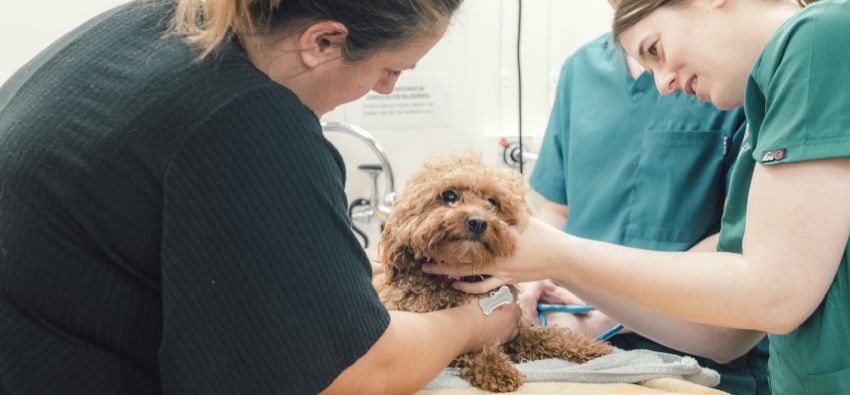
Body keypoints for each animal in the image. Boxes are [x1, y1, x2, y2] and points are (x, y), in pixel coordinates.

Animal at [376, 152, 608, 392]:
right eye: (449, 196)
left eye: (492, 202)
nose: (478, 222)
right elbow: (470, 346)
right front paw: (495, 367)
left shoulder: (517, 328)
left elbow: (544, 336)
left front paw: (587, 347)